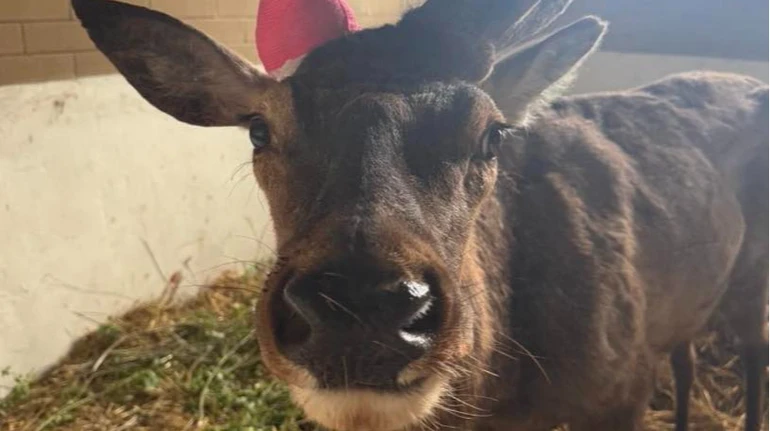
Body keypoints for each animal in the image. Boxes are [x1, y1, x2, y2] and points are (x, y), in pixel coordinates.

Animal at [71, 0, 768, 429]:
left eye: (492, 134)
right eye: (259, 130)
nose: (359, 309)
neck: (500, 399)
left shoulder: (621, 387)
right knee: (687, 357)